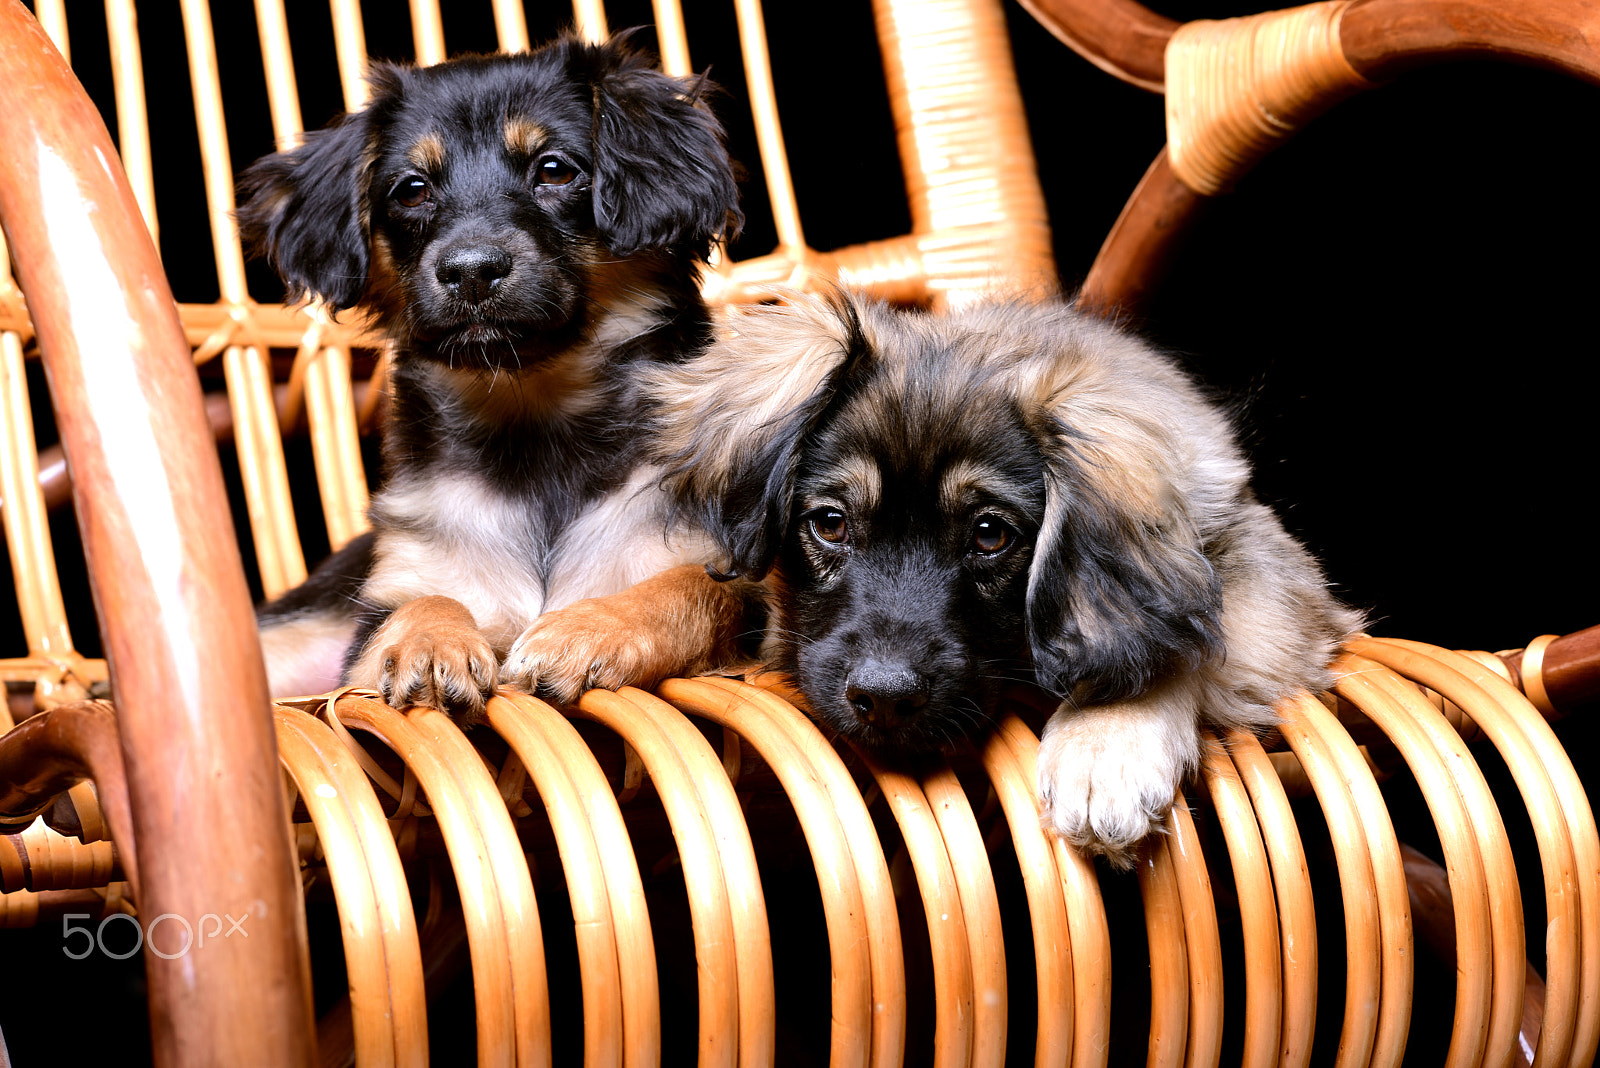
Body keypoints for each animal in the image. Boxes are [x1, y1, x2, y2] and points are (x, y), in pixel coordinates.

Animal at [241, 35, 742, 716]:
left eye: (554, 169)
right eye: (411, 190)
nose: (471, 271)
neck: (534, 417)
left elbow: (691, 591)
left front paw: (588, 631)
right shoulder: (374, 630)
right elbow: (421, 601)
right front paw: (430, 643)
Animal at [643, 292, 1356, 869]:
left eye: (990, 535)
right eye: (830, 524)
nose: (884, 699)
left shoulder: (1273, 572)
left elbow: (1169, 645)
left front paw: (1104, 744)